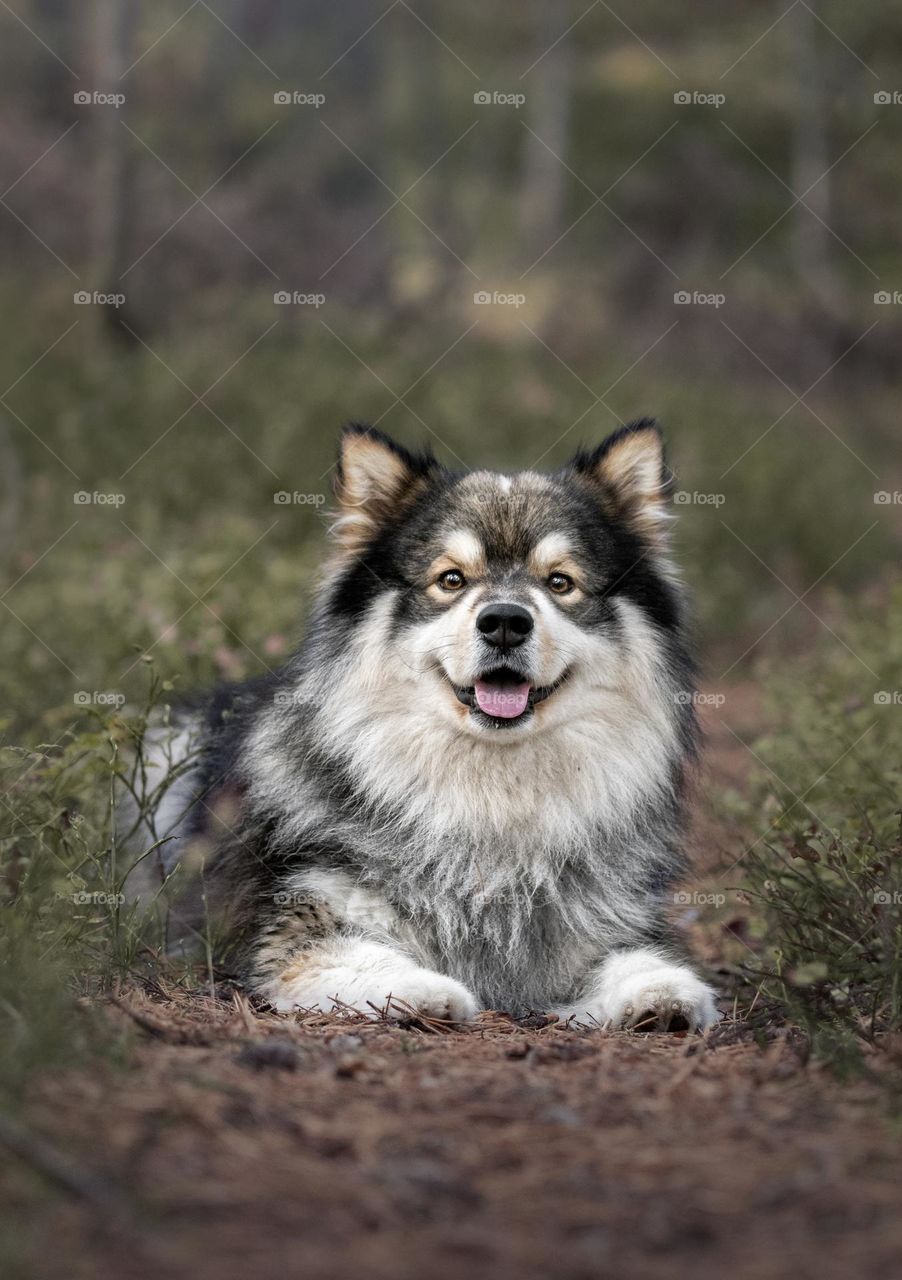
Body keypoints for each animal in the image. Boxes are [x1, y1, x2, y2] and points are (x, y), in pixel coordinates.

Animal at [124, 419, 716, 1029]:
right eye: (451, 579)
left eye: (560, 583)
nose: (505, 622)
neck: (491, 795)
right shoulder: (298, 932)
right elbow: (369, 957)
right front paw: (426, 992)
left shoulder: (605, 928)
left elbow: (640, 960)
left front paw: (663, 996)